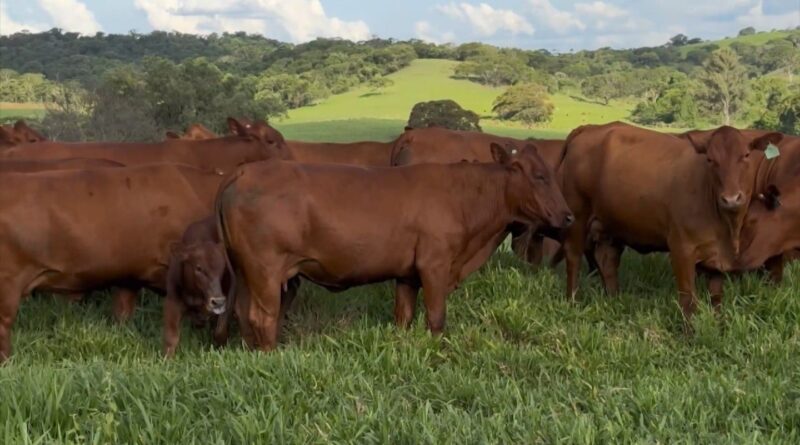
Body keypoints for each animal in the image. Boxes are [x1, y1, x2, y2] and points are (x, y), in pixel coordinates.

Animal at [213, 142, 573, 351]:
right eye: (539, 175)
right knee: (262, 317)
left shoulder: (407, 274)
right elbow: (436, 318)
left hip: (246, 272)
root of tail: (243, 172)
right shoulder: (434, 265)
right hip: (265, 270)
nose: (568, 216)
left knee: (244, 313)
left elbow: (404, 316)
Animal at [559, 122, 782, 321]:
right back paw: (572, 301)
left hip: (612, 223)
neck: (728, 228)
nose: (731, 198)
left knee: (607, 260)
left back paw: (614, 301)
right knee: (574, 256)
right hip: (577, 215)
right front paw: (690, 334)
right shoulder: (681, 249)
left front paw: (719, 326)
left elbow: (716, 298)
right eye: (710, 160)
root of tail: (591, 127)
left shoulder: (717, 257)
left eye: (746, 155)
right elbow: (688, 300)